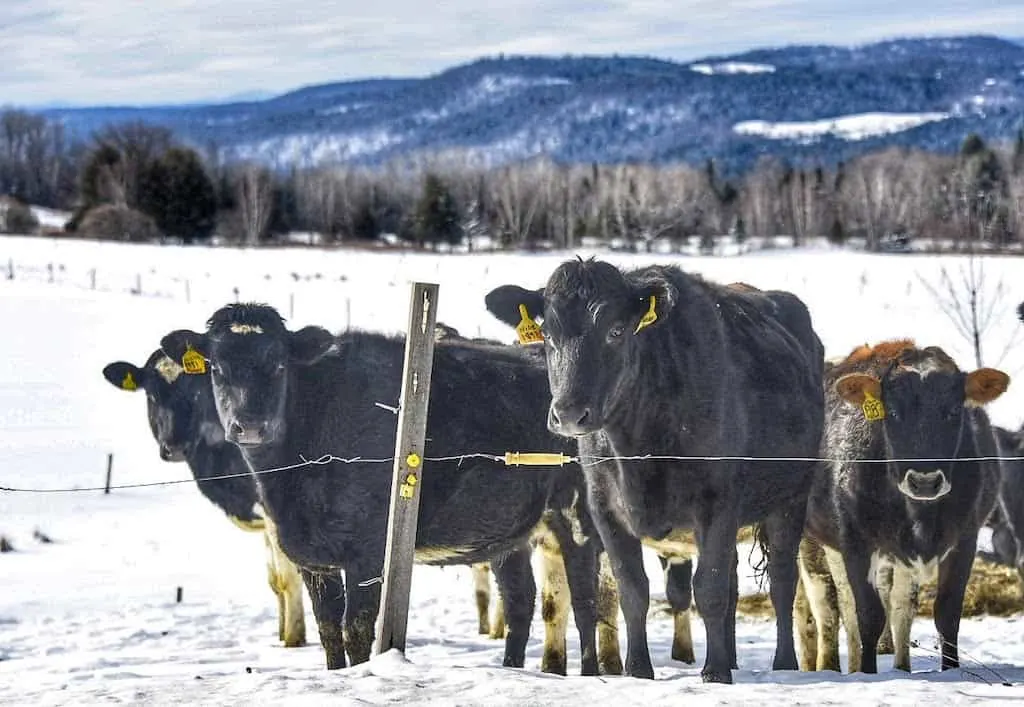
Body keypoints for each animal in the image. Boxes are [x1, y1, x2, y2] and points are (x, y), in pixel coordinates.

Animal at [100, 346, 309, 643]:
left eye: (195, 392)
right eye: (151, 394)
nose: (173, 447)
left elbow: (288, 578)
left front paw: (293, 641)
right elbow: (274, 582)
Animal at [160, 303, 606, 672]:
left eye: (278, 364)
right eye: (217, 368)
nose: (250, 425)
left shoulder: (368, 552)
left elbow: (356, 629)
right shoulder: (312, 558)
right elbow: (328, 629)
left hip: (576, 514)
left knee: (586, 601)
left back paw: (591, 673)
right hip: (511, 530)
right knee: (519, 601)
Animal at [483, 260, 827, 684]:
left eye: (616, 331)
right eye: (548, 333)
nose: (568, 414)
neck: (638, 445)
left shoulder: (717, 501)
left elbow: (709, 587)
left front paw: (715, 673)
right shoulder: (604, 508)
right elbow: (633, 590)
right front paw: (638, 670)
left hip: (791, 499)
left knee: (781, 581)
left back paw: (783, 662)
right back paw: (731, 657)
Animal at [798, 340, 1007, 672]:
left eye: (953, 411)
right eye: (893, 412)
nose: (925, 482)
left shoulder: (965, 538)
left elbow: (946, 614)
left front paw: (951, 670)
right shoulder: (856, 541)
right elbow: (868, 615)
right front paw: (868, 674)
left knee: (892, 605)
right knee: (826, 602)